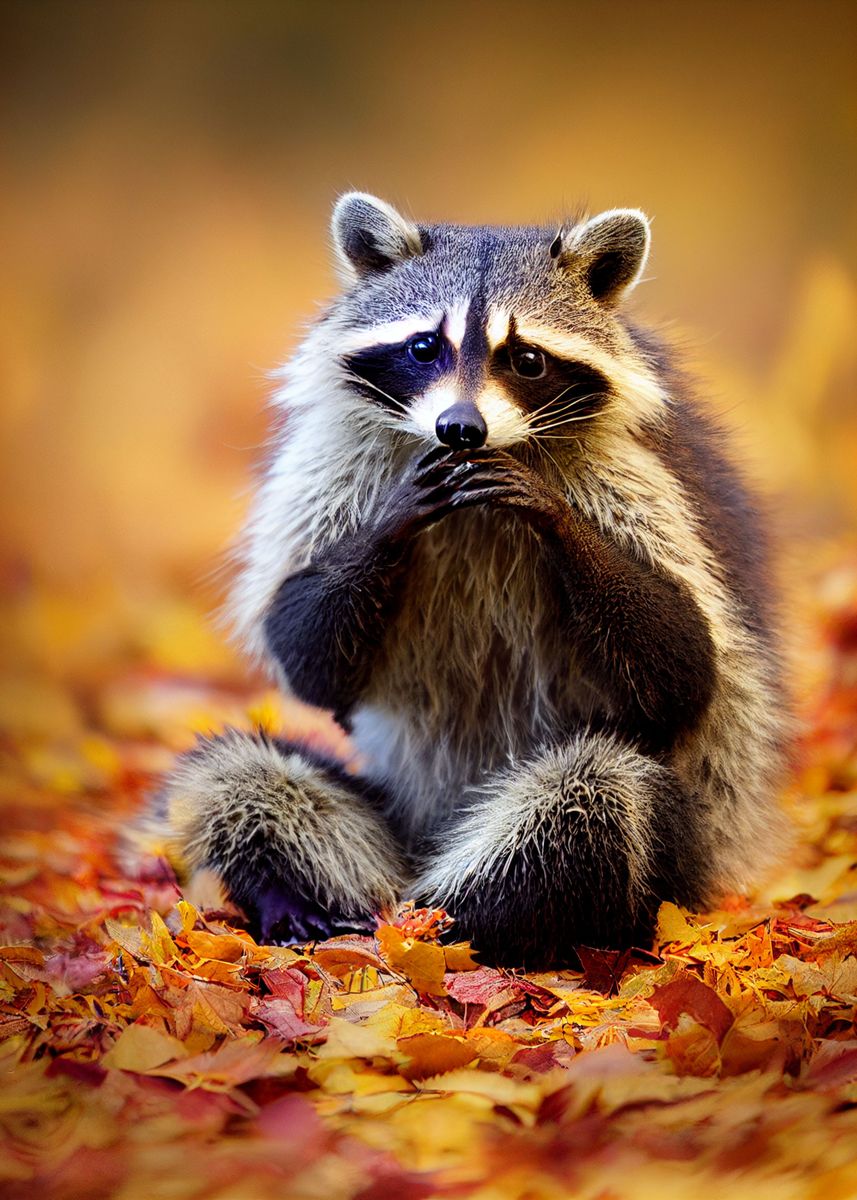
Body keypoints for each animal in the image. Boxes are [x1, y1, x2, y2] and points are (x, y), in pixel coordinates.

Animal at [154, 192, 789, 967]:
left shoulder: (635, 474)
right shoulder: (330, 460)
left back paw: (480, 917)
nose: (461, 429)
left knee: (595, 791)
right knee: (234, 772)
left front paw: (548, 511)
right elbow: (306, 652)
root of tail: (424, 864)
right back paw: (298, 896)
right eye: (426, 347)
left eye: (526, 358)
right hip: (388, 825)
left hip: (684, 853)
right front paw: (394, 520)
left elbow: (686, 664)